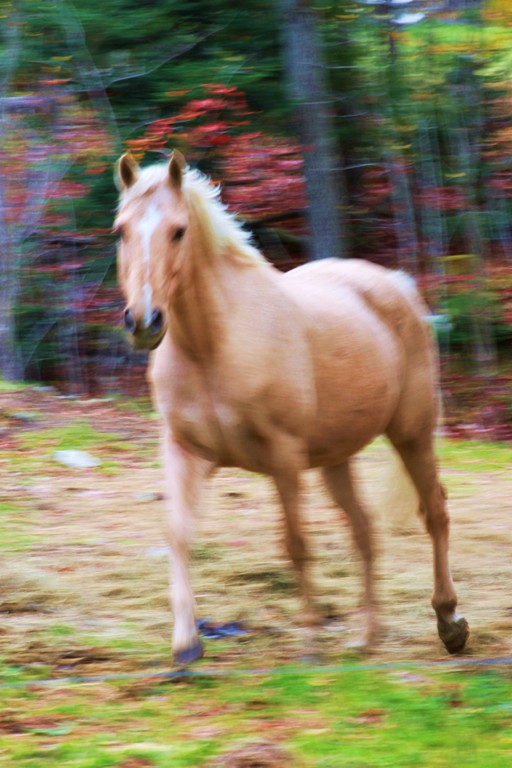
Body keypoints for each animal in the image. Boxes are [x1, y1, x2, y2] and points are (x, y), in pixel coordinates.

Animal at [114, 150, 469, 664]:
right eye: (120, 230)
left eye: (178, 231)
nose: (144, 321)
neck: (213, 344)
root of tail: (397, 284)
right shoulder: (185, 451)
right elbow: (177, 533)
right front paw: (185, 646)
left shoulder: (282, 457)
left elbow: (296, 544)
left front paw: (309, 646)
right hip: (337, 457)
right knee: (364, 529)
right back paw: (367, 637)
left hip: (412, 434)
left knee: (434, 511)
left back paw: (449, 623)